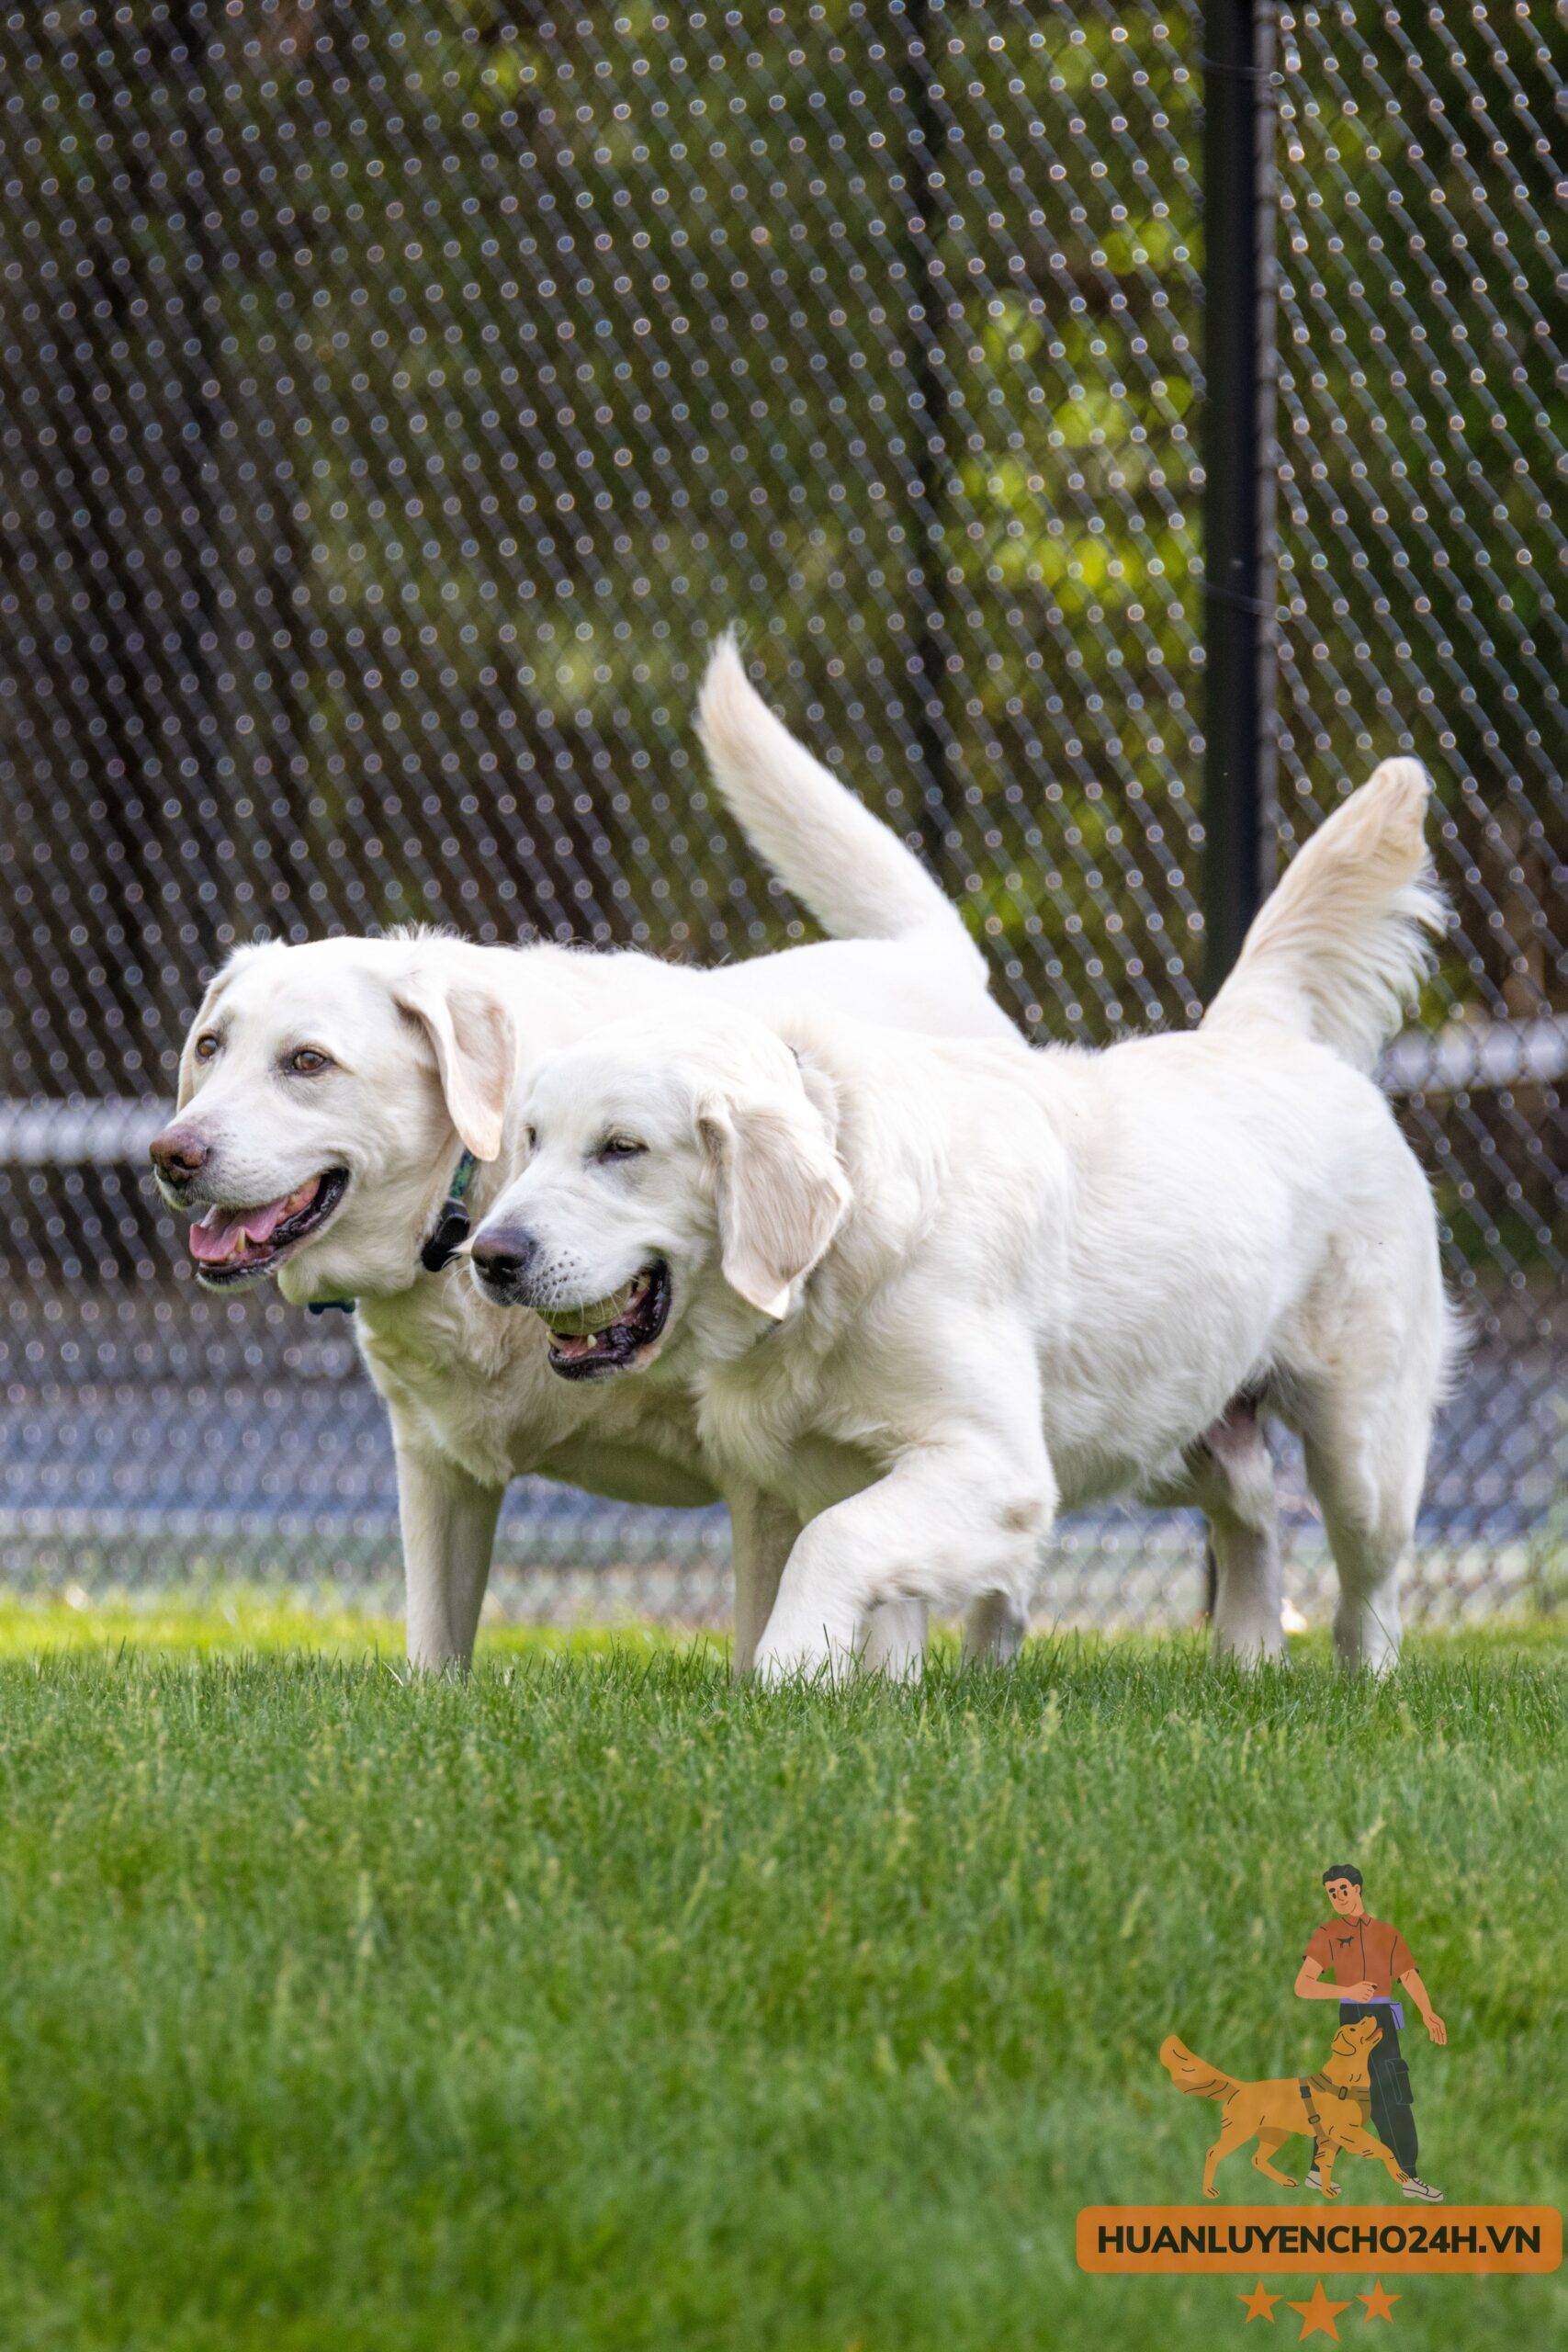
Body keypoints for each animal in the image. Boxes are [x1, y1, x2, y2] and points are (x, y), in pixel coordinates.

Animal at [150, 644, 1020, 1674]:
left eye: (307, 1062)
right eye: (210, 1047)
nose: (171, 1154)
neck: (472, 1197)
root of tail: (933, 957)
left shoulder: (766, 1480)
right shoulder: (436, 1470)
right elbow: (434, 1651)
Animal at [472, 752, 1457, 1674]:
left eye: (621, 1148)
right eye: (531, 1138)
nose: (490, 1255)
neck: (836, 1263)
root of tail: (1263, 1033)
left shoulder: (996, 1469)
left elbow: (832, 1547)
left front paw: (784, 1674)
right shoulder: (850, 1468)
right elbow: (881, 1608)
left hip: (1357, 1447)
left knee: (1366, 1590)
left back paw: (1361, 1682)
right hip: (1162, 1426)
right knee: (1249, 1506)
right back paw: (1244, 1656)